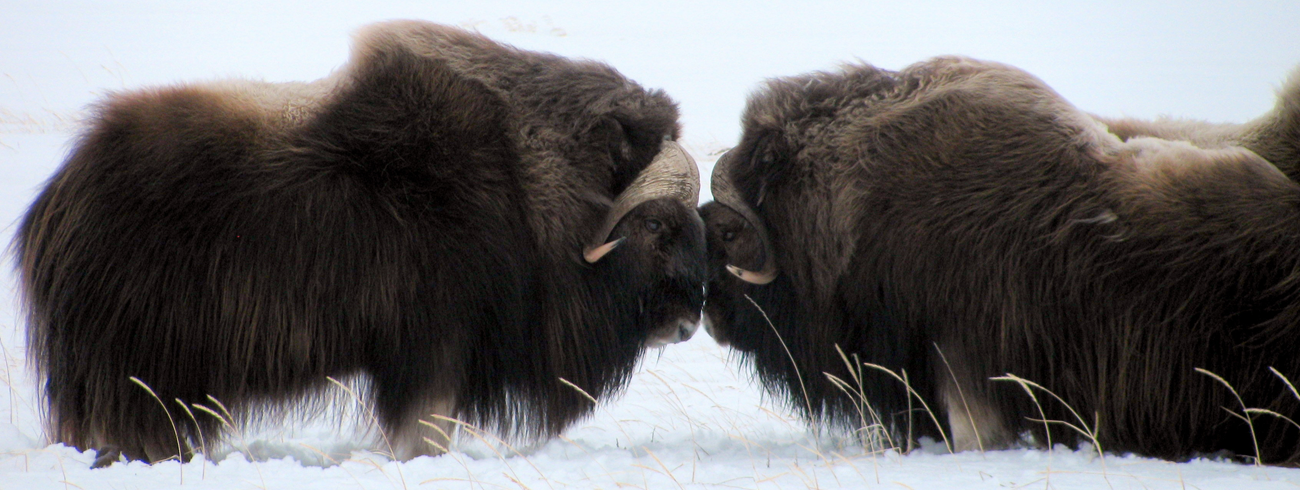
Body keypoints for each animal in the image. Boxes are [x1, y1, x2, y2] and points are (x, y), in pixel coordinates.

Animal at [14, 20, 707, 467]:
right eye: (656, 225)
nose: (689, 321)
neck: (527, 177)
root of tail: (57, 198)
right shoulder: (435, 344)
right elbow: (426, 427)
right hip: (138, 363)